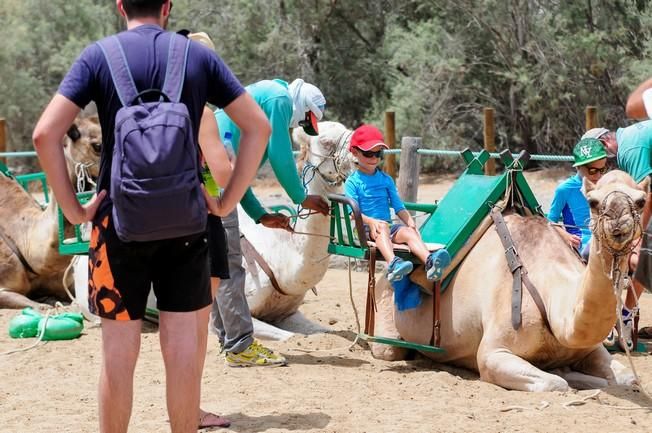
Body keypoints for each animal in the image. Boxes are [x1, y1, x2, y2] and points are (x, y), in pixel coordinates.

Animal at [372, 170, 648, 390]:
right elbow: (556, 383)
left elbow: (627, 379)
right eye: (592, 201)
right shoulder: (493, 353)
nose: (618, 219)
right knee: (388, 349)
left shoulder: (590, 348)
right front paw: (564, 373)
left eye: (641, 200)